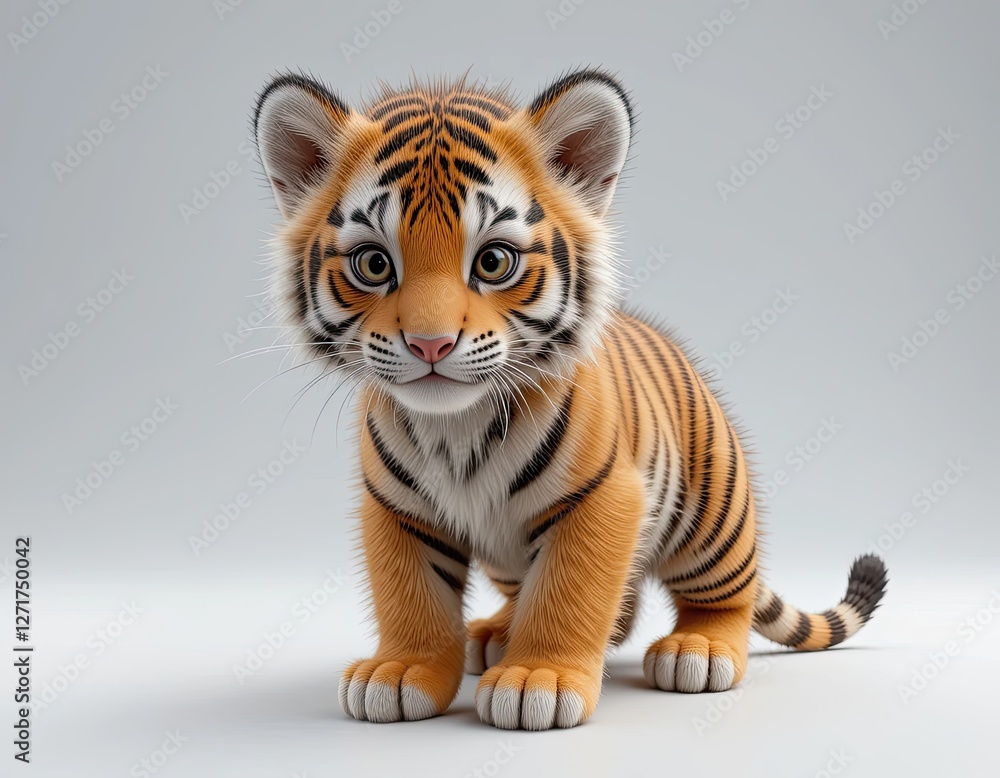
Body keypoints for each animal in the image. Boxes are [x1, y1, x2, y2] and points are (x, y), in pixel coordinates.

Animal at [251, 68, 888, 731]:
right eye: (374, 264)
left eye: (493, 261)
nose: (431, 343)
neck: (456, 427)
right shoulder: (396, 508)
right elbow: (411, 594)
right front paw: (402, 671)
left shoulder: (604, 497)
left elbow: (569, 590)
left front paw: (540, 679)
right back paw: (497, 634)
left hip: (711, 515)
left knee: (721, 595)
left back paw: (698, 648)